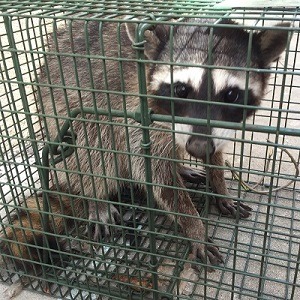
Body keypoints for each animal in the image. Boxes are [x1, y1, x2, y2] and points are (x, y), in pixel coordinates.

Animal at [0, 17, 290, 268]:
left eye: (231, 94)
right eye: (181, 90)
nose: (196, 148)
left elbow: (214, 152)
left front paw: (219, 185)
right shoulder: (138, 115)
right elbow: (155, 174)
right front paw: (194, 226)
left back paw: (181, 166)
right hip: (62, 112)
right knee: (92, 144)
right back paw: (95, 196)